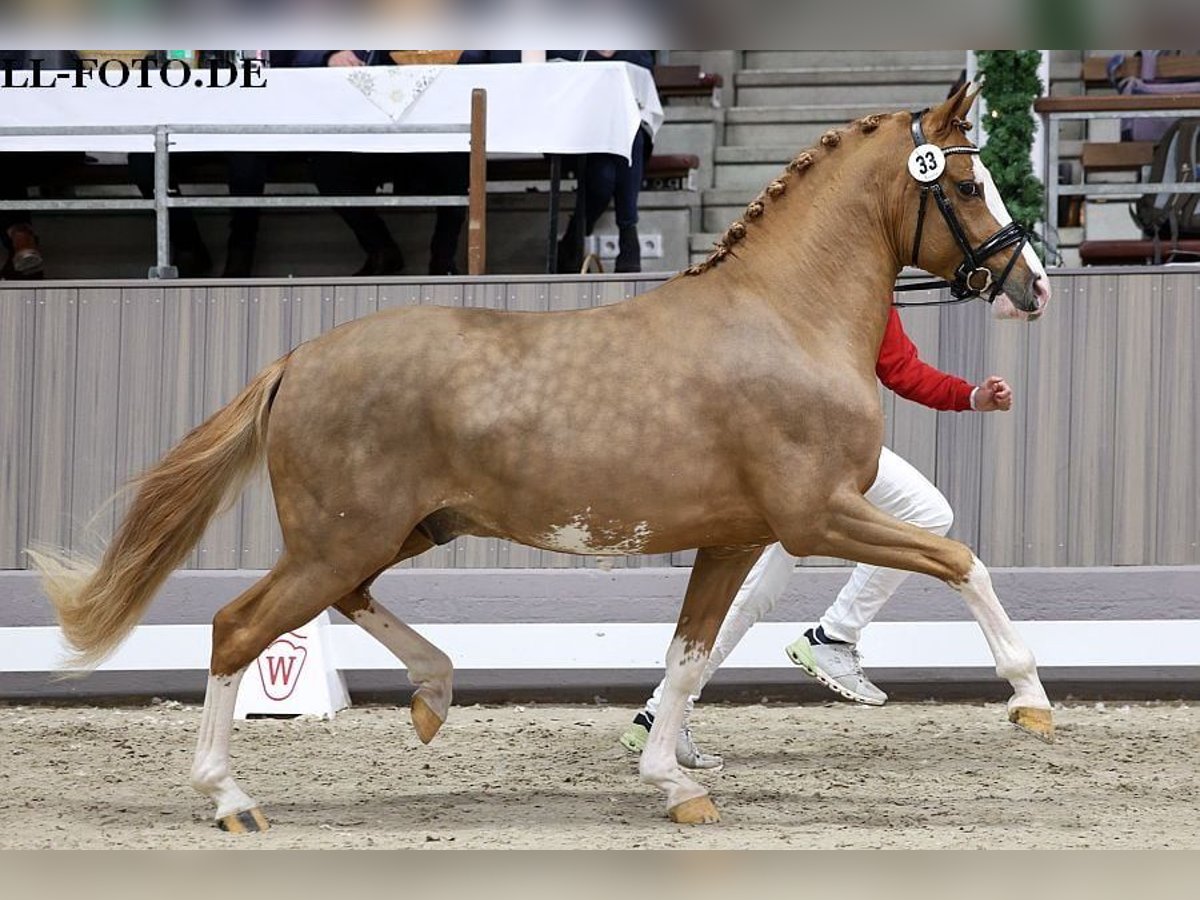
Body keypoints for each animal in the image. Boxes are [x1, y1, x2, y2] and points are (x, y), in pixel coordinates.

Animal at [30, 82, 1051, 830]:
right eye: (967, 187)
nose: (1031, 285)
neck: (784, 318)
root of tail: (297, 360)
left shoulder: (734, 538)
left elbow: (689, 654)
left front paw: (676, 782)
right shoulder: (818, 514)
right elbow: (958, 559)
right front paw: (1029, 697)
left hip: (398, 533)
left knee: (339, 605)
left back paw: (433, 694)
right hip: (340, 540)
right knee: (237, 627)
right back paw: (231, 798)